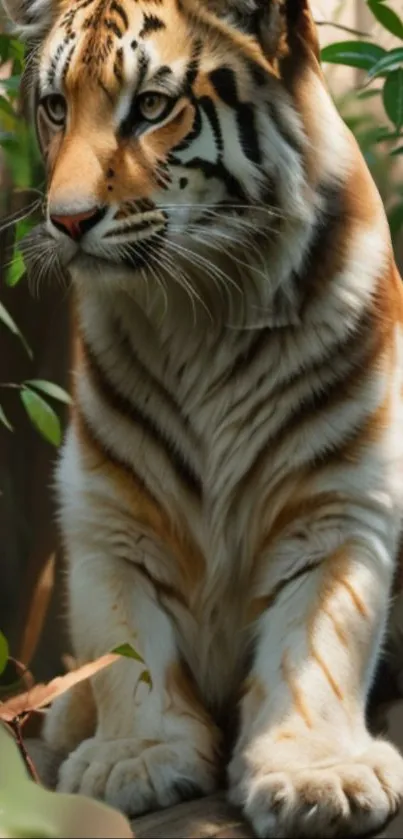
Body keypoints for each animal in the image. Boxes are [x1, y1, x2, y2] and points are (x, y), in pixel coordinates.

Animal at [4, 0, 403, 832]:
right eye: (56, 108)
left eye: (151, 106)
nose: (67, 220)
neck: (204, 312)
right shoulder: (109, 504)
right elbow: (125, 640)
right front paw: (134, 756)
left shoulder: (338, 499)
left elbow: (317, 640)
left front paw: (320, 777)